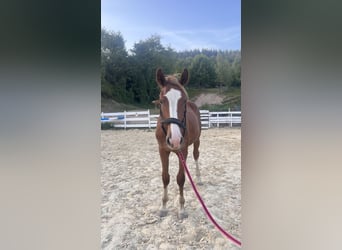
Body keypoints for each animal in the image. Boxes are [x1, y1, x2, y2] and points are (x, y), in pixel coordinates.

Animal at [154, 68, 200, 219]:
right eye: (161, 101)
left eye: (184, 100)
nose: (174, 140)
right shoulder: (162, 150)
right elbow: (165, 177)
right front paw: (163, 207)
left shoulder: (182, 150)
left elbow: (180, 178)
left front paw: (182, 208)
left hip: (197, 141)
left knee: (196, 156)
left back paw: (199, 177)